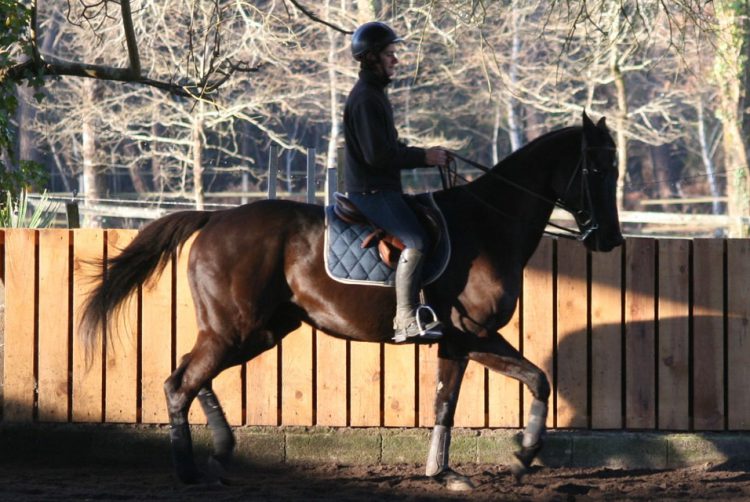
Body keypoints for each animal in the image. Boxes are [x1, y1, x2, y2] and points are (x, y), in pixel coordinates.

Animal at [79, 110, 624, 490]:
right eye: (596, 168)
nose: (611, 240)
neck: (485, 224)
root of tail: (216, 217)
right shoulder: (469, 335)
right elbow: (464, 397)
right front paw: (506, 458)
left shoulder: (464, 340)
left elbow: (522, 383)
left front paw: (501, 459)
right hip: (235, 329)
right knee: (180, 383)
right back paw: (190, 470)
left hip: (256, 331)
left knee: (194, 377)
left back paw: (220, 453)